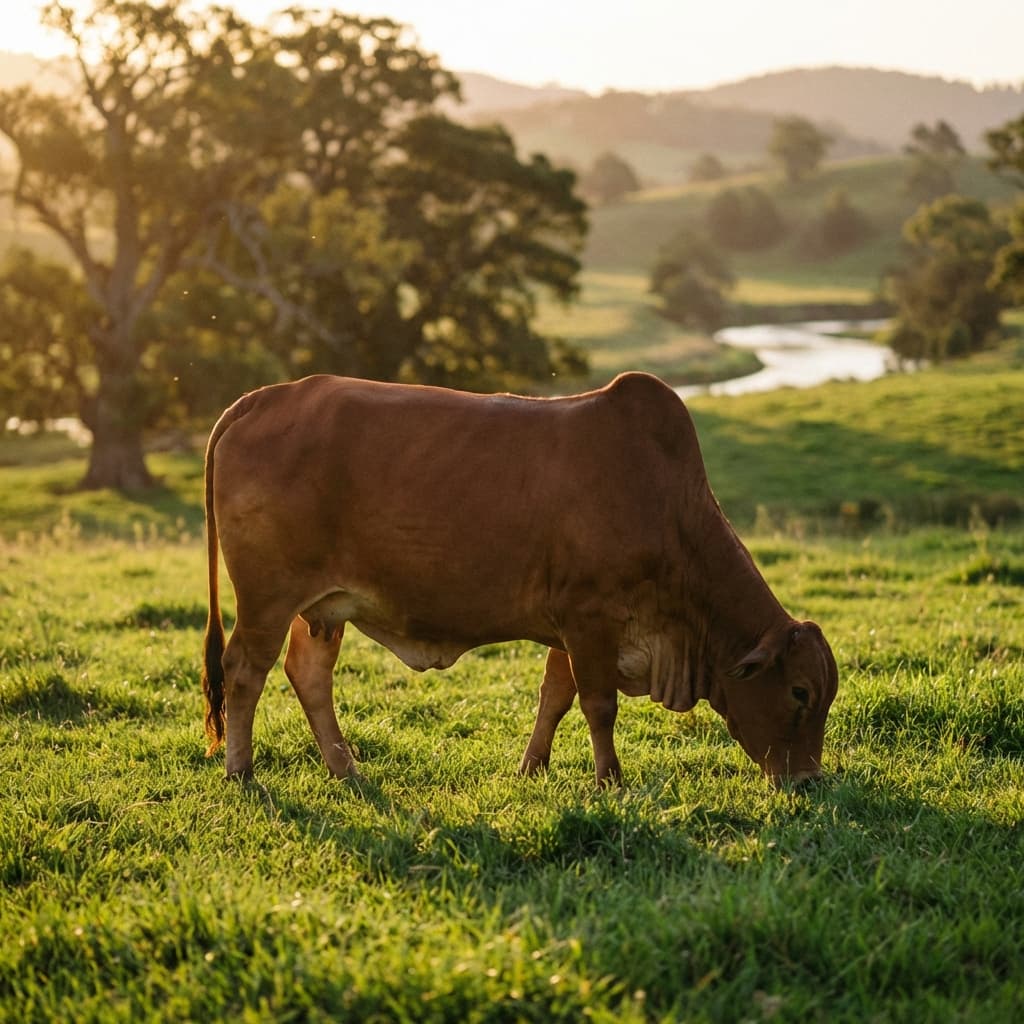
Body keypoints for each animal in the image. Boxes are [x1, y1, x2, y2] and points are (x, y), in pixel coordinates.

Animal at [201, 371, 837, 788]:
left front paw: (533, 767)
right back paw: (241, 771)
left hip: (324, 607)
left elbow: (555, 697)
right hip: (267, 597)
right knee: (244, 672)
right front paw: (611, 781)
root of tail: (264, 397)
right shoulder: (589, 617)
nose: (808, 780)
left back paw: (345, 768)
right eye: (800, 692)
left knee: (308, 675)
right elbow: (599, 704)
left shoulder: (572, 628)